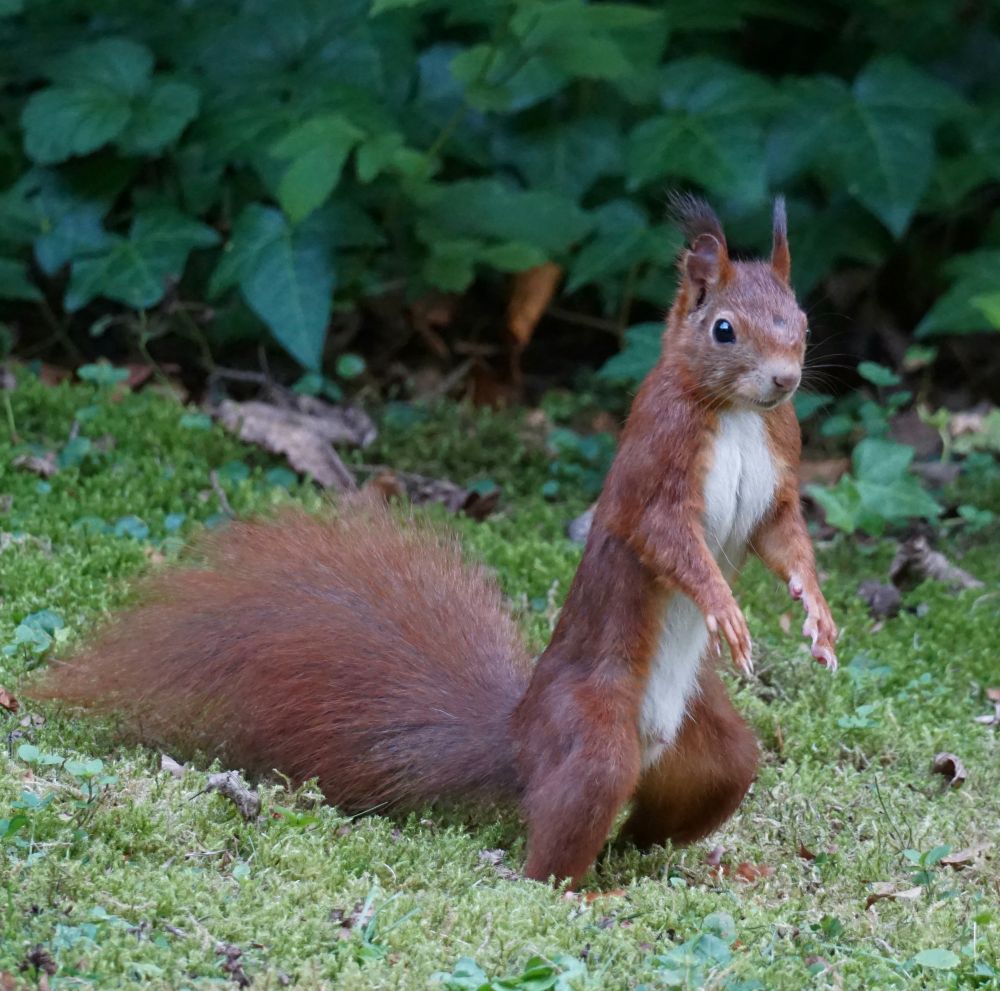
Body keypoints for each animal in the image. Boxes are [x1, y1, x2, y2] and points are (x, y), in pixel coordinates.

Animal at [32, 194, 837, 889]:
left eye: (800, 317)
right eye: (724, 328)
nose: (784, 379)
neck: (735, 413)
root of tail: (523, 740)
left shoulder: (779, 466)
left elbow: (783, 539)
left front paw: (818, 616)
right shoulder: (657, 463)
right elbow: (668, 539)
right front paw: (724, 607)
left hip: (713, 752)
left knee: (658, 823)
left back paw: (713, 866)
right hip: (596, 735)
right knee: (557, 856)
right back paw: (585, 892)